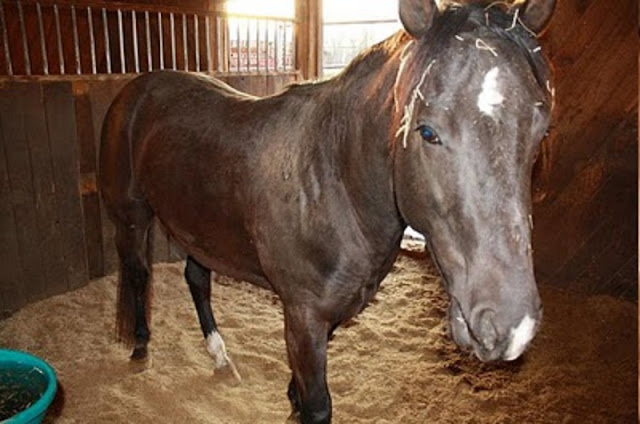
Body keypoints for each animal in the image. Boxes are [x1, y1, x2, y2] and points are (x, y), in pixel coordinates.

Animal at [98, 0, 555, 422]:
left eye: (542, 131)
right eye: (427, 131)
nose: (510, 326)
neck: (333, 183)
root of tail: (136, 89)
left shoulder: (330, 314)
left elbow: (301, 392)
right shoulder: (303, 315)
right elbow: (318, 405)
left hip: (202, 228)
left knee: (197, 279)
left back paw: (220, 357)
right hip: (132, 217)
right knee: (138, 272)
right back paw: (139, 347)